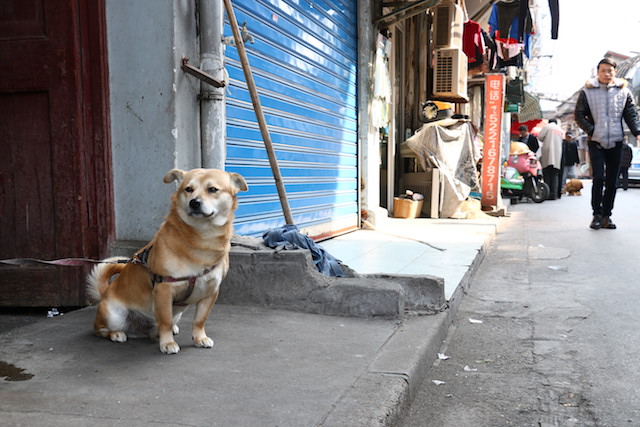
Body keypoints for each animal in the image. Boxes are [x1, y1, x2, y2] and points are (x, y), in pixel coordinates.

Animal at [89, 170, 249, 354]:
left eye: (213, 189)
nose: (194, 202)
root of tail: (104, 294)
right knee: (100, 330)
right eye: (188, 189)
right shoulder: (164, 289)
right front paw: (167, 343)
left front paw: (199, 338)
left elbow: (199, 320)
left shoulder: (211, 292)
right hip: (114, 316)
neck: (203, 239)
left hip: (176, 313)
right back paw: (116, 334)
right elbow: (164, 321)